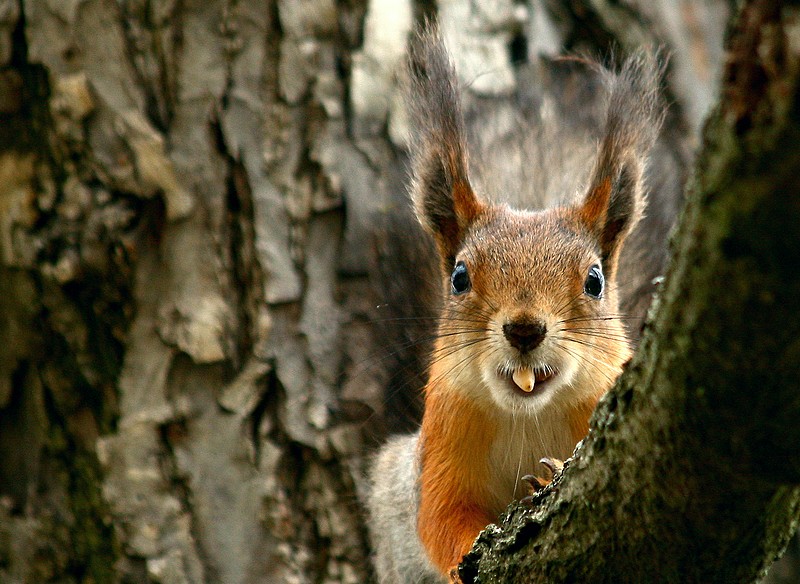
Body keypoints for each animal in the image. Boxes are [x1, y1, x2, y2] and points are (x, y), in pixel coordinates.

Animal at [368, 22, 668, 584]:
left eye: (595, 280)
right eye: (460, 276)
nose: (525, 329)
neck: (528, 415)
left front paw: (548, 477)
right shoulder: (443, 443)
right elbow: (442, 519)